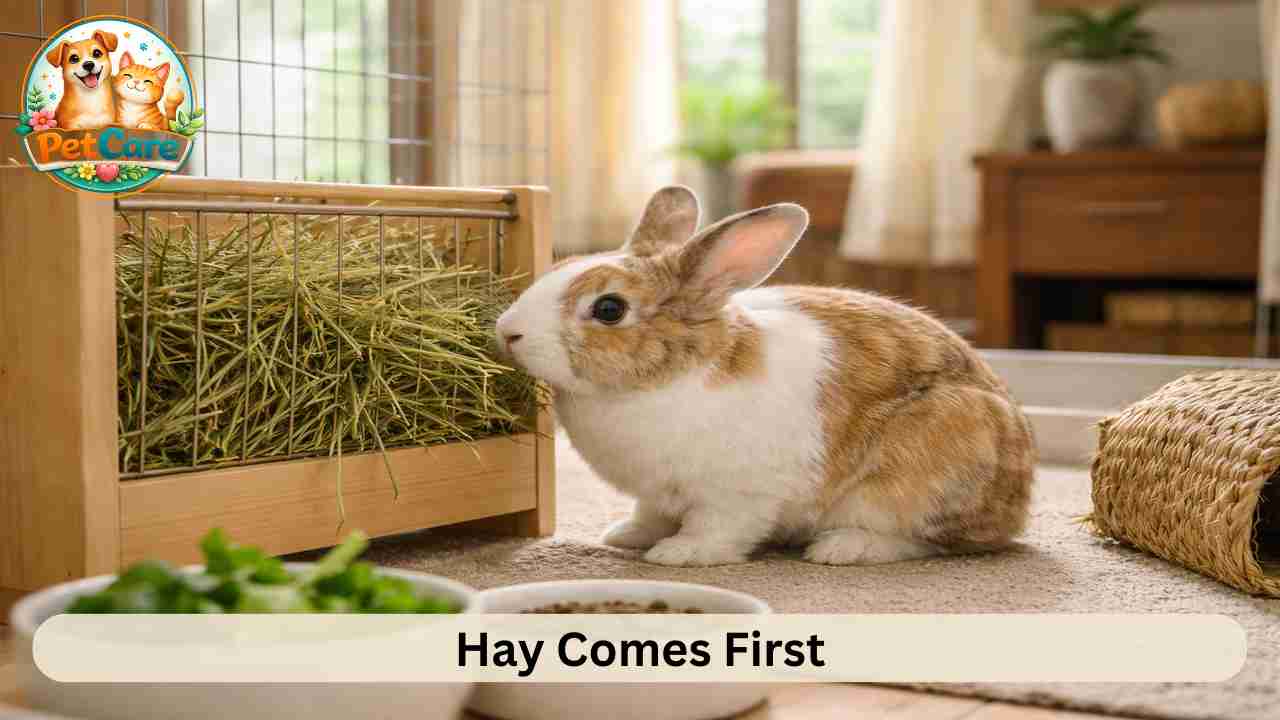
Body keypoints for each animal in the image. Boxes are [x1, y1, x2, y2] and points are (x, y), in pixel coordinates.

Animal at [495, 186, 1035, 567]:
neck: (662, 377)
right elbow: (649, 515)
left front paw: (680, 554)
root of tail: (1018, 502)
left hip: (920, 468)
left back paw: (842, 548)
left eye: (609, 309)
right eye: (561, 265)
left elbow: (718, 527)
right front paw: (625, 536)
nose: (507, 331)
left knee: (928, 540)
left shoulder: (736, 493)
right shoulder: (655, 493)